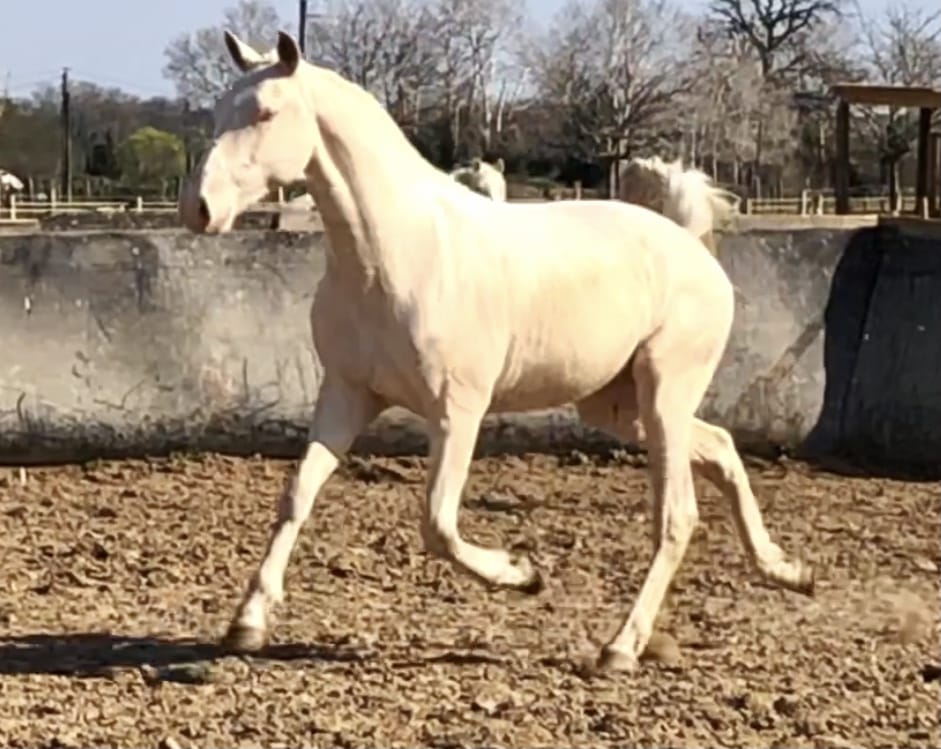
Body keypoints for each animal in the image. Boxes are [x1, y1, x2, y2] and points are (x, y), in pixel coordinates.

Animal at [177, 30, 814, 672]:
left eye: (266, 112)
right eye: (219, 111)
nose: (198, 209)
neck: (395, 255)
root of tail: (691, 246)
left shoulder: (458, 410)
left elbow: (437, 522)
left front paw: (523, 573)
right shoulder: (347, 395)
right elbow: (296, 497)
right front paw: (247, 622)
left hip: (664, 395)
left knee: (676, 516)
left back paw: (621, 646)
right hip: (619, 406)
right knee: (724, 449)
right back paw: (789, 570)